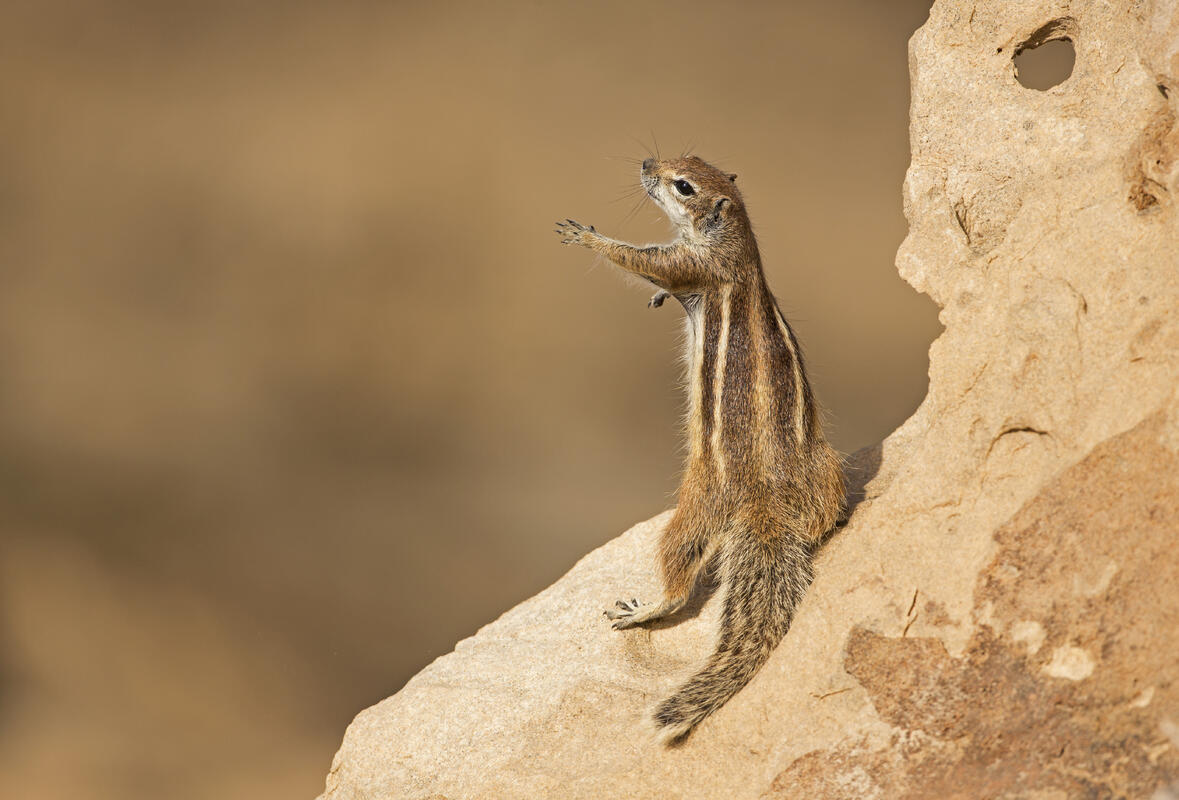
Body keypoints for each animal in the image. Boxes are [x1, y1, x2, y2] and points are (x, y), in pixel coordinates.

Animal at [555, 155, 845, 743]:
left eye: (683, 185)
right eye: (692, 160)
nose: (647, 163)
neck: (737, 241)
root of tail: (766, 505)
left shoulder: (691, 263)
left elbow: (642, 258)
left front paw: (588, 236)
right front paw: (654, 294)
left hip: (696, 503)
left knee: (679, 573)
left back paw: (642, 610)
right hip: (828, 471)